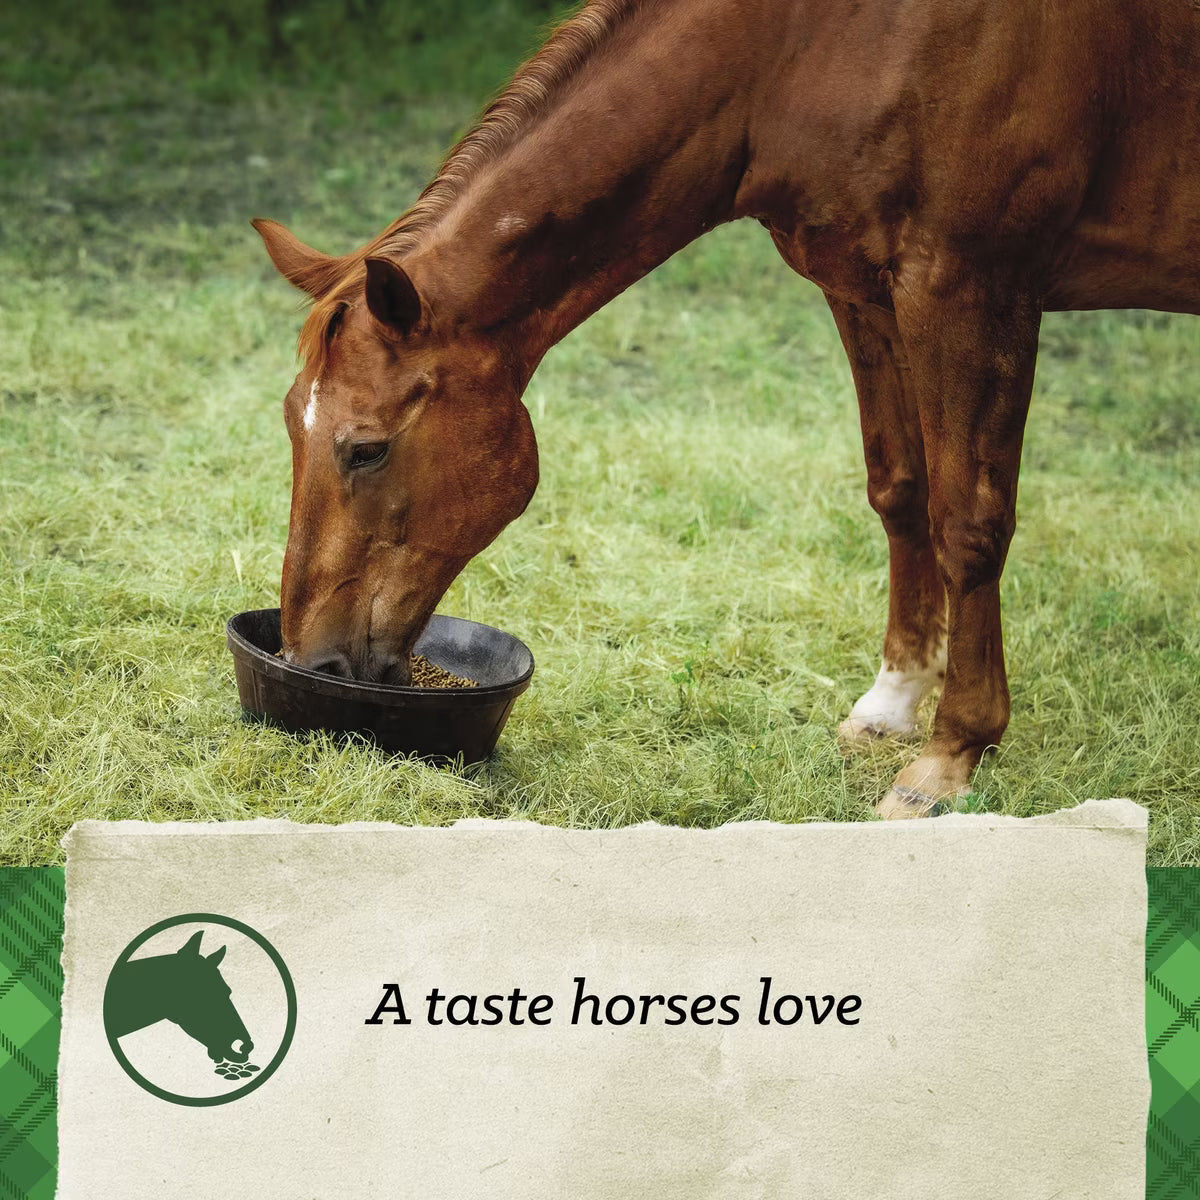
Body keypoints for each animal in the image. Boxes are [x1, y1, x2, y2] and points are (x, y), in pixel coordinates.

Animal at [253, 0, 1200, 818]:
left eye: (366, 449)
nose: (310, 660)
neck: (811, 45)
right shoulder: (864, 290)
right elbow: (901, 490)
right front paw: (892, 705)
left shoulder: (972, 289)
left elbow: (969, 522)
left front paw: (949, 755)